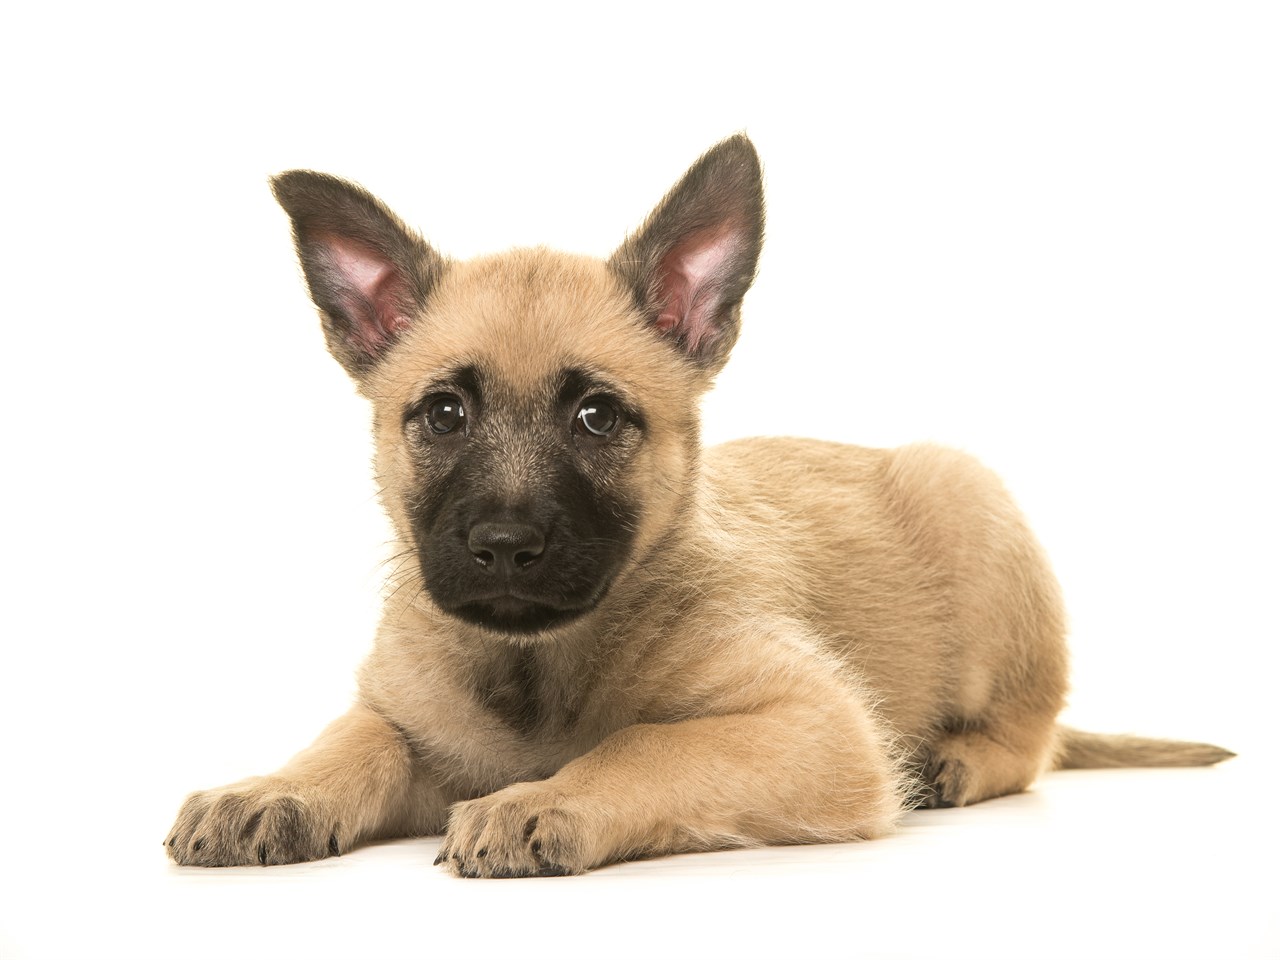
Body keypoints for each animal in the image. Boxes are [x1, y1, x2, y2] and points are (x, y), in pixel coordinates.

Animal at [162, 135, 1228, 880]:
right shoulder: (406, 721)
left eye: (597, 416)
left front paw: (546, 799)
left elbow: (645, 742)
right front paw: (271, 788)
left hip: (968, 496)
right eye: (444, 413)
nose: (504, 546)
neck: (538, 666)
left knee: (1032, 735)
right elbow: (355, 740)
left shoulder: (813, 726)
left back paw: (958, 760)